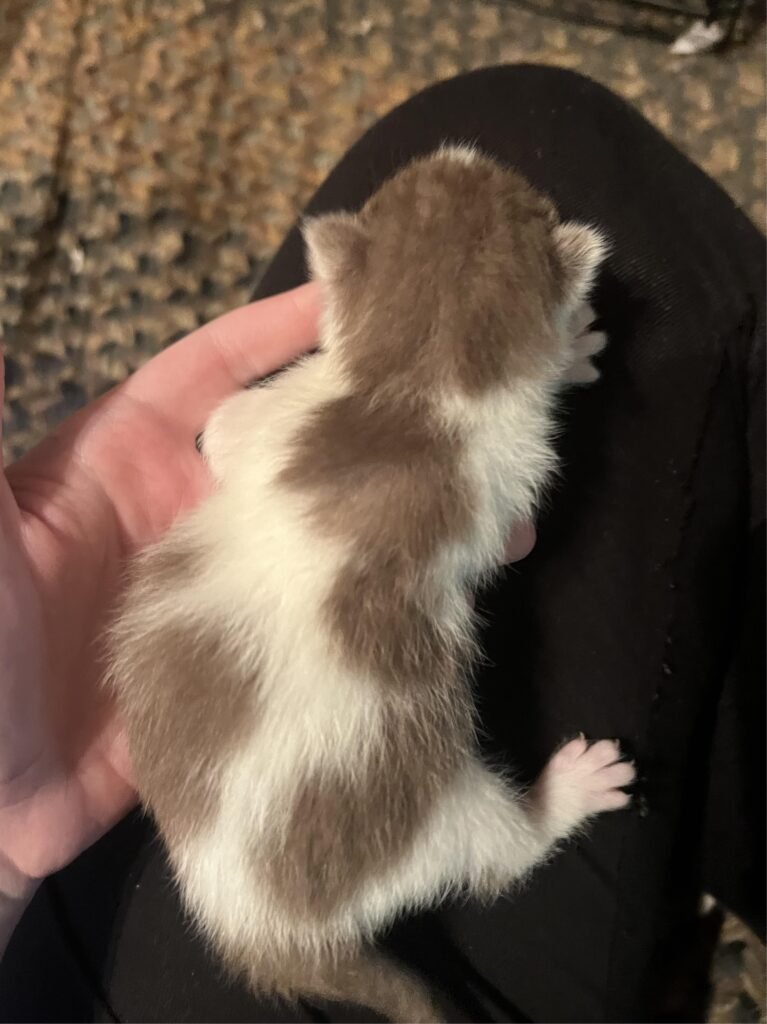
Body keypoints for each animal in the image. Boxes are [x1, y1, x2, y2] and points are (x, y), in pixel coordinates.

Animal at [109, 146, 634, 1024]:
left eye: (418, 190)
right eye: (526, 199)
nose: (462, 149)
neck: (413, 382)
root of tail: (265, 934)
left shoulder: (267, 416)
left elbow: (221, 433)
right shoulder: (505, 472)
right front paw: (574, 349)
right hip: (434, 810)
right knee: (501, 852)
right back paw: (574, 786)